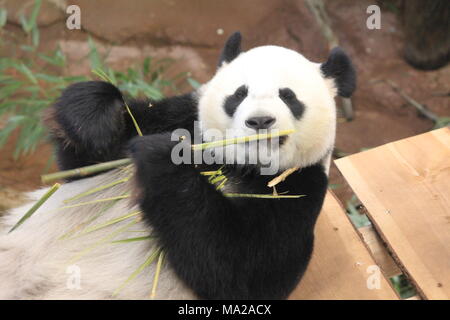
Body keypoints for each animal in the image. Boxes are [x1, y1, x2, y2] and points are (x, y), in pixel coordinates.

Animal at [0, 31, 356, 298]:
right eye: (239, 94)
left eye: (288, 96)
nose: (259, 121)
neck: (235, 164)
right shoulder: (182, 117)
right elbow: (82, 162)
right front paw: (97, 117)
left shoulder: (299, 186)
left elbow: (238, 269)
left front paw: (159, 156)